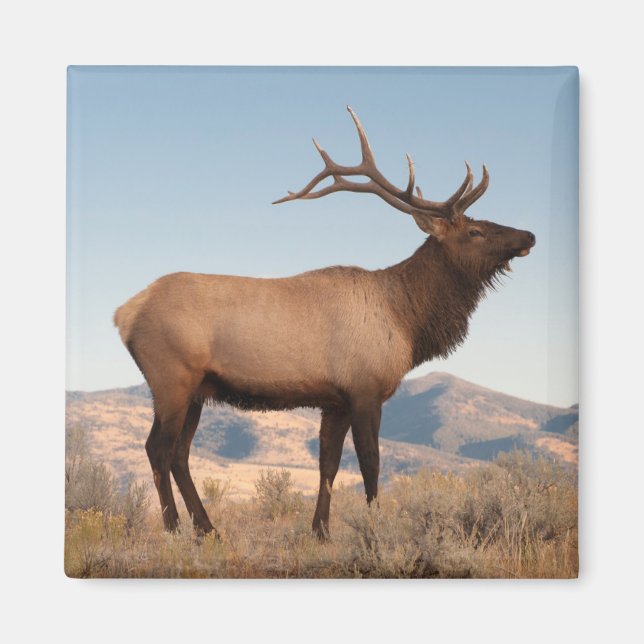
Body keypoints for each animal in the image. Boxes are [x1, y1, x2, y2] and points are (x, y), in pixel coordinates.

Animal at [114, 106, 535, 540]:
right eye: (475, 230)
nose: (529, 235)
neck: (406, 320)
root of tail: (124, 313)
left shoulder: (335, 401)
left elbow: (328, 465)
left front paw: (321, 530)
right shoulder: (366, 389)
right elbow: (370, 463)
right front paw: (375, 528)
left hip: (197, 390)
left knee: (179, 453)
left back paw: (207, 529)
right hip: (172, 380)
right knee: (157, 449)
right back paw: (174, 528)